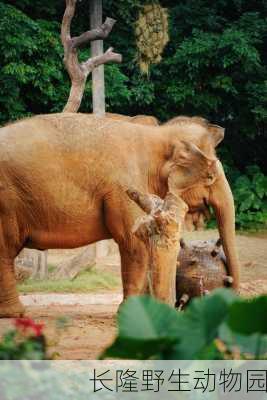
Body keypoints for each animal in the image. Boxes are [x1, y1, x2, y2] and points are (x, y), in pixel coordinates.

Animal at [0, 114, 240, 318]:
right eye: (211, 177)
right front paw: (128, 313)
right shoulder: (125, 187)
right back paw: (15, 313)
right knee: (5, 249)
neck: (158, 135)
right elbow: (134, 244)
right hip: (6, 201)